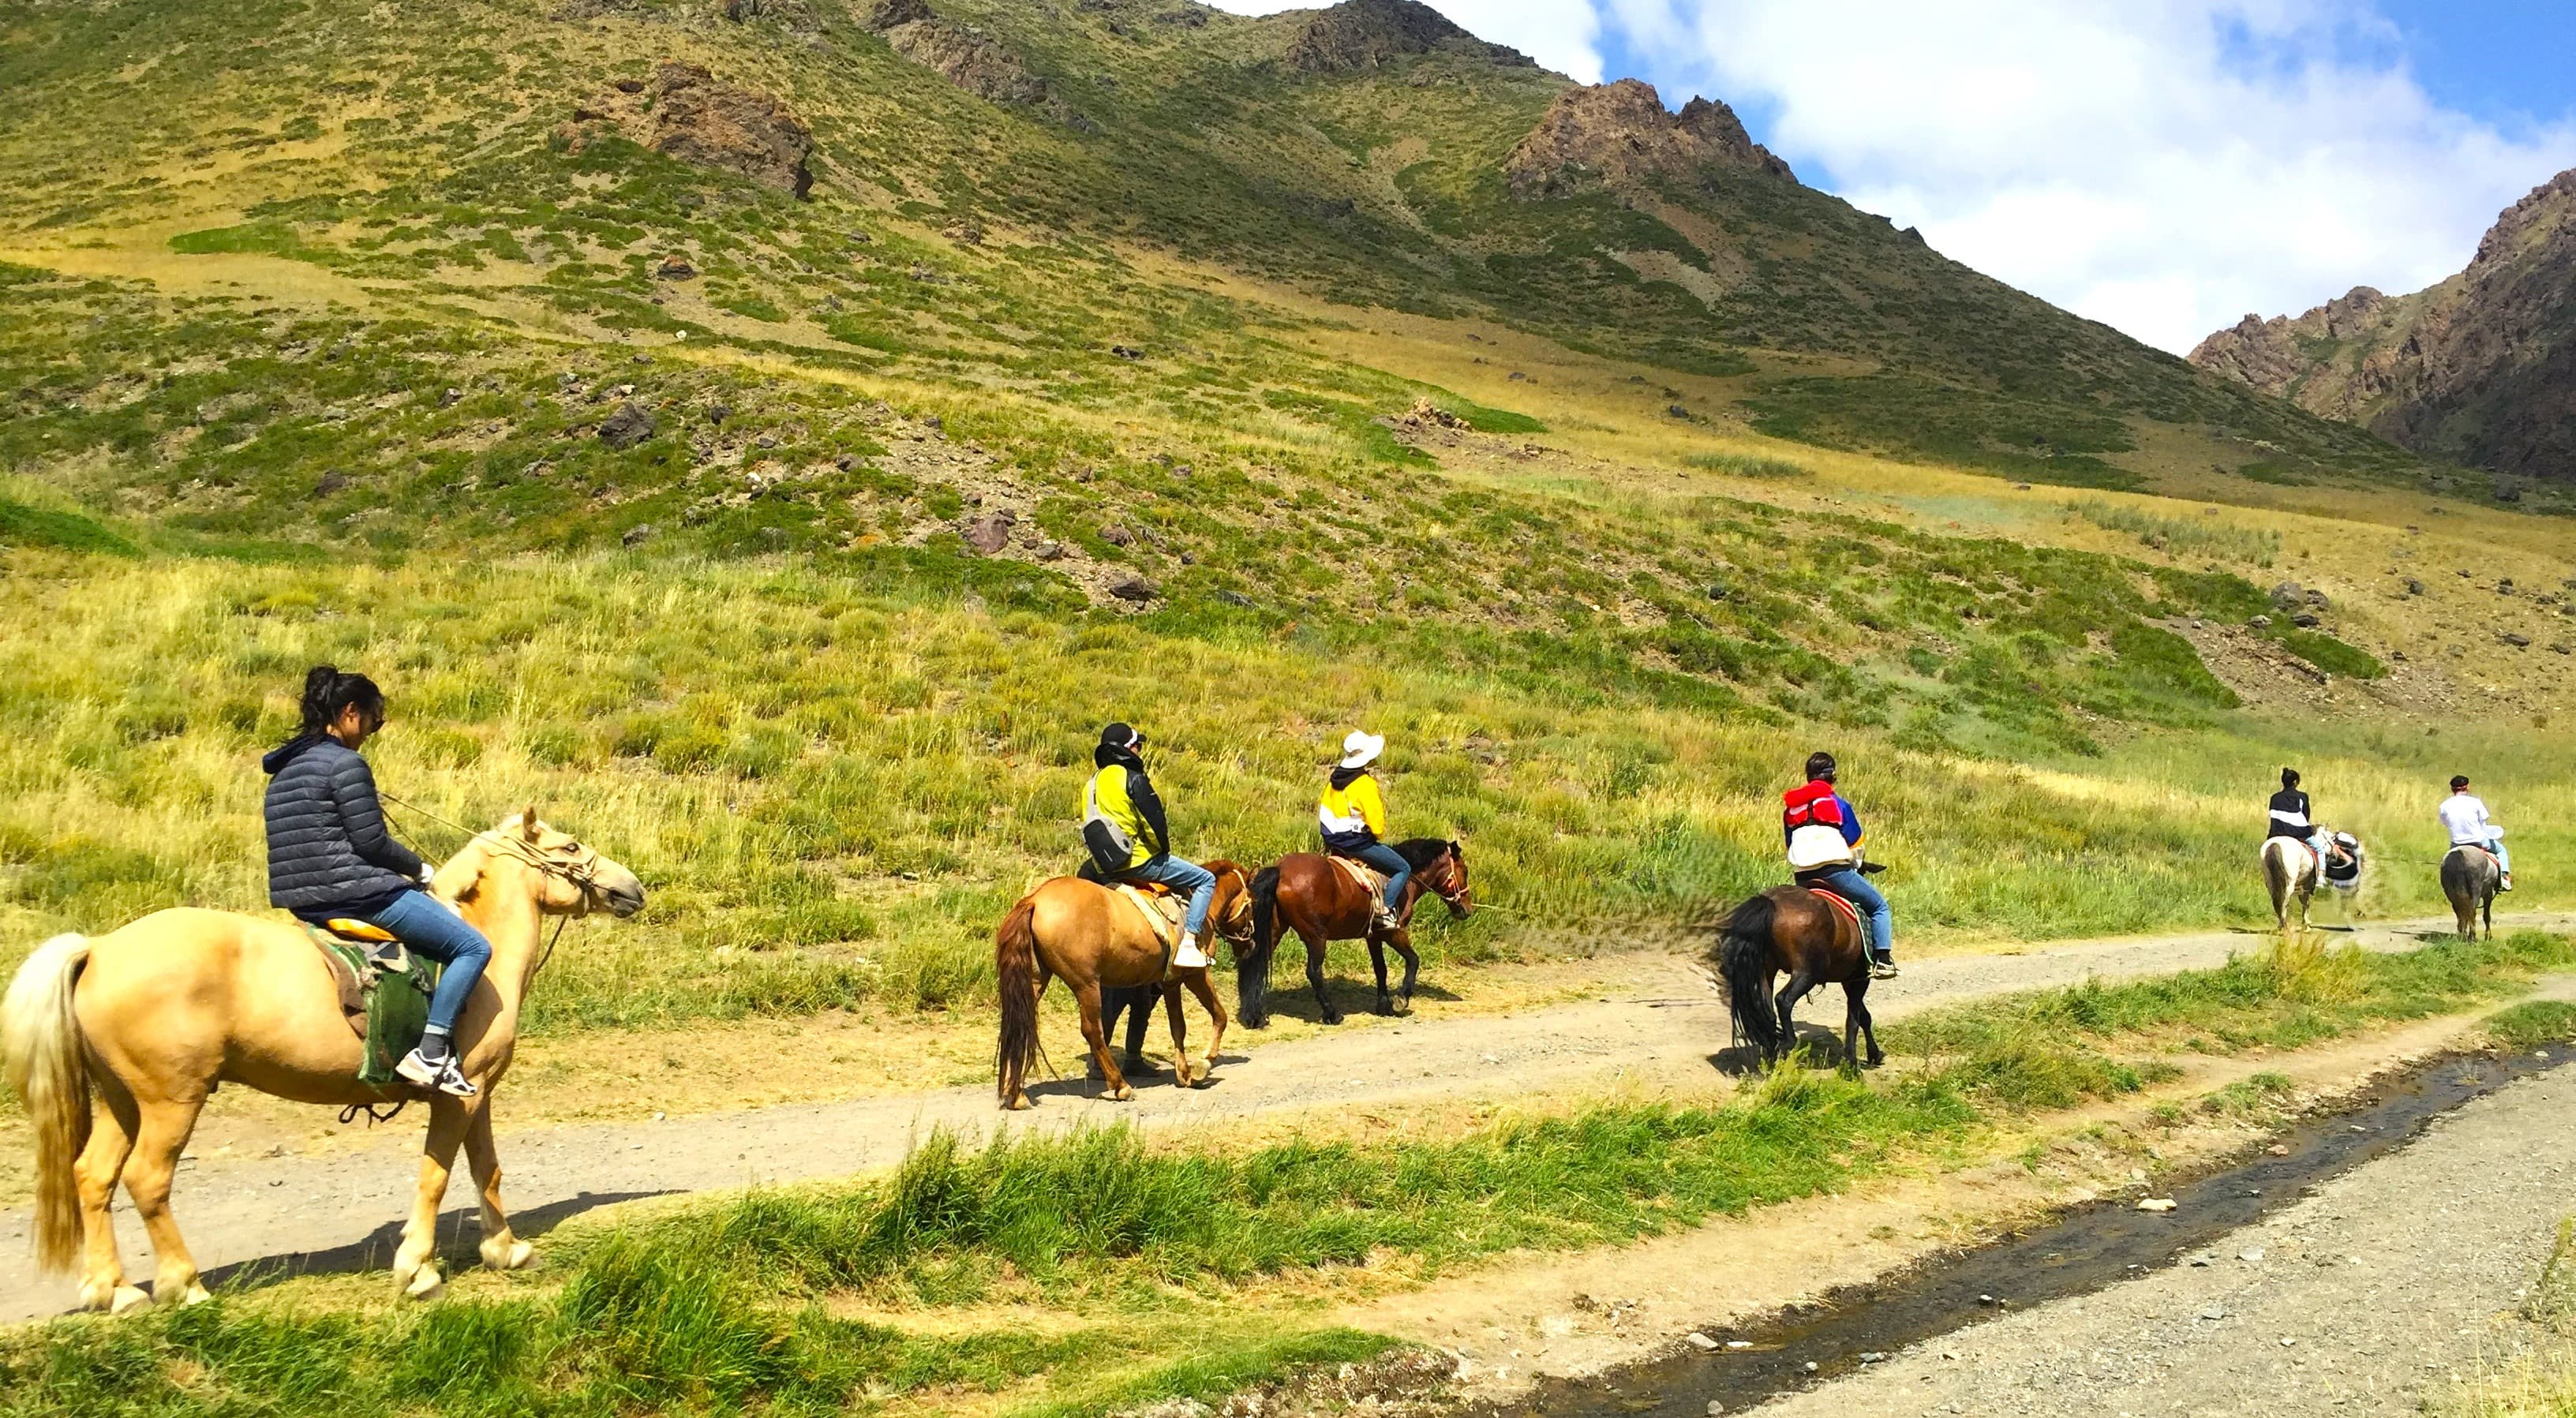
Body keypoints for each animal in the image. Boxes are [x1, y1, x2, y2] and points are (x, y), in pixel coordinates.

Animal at [1, 813, 644, 1317]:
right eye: (569, 847)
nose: (632, 888)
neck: (479, 953)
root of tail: (98, 949)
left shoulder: (476, 1093)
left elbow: (487, 1169)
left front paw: (506, 1250)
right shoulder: (455, 1097)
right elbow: (436, 1177)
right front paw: (419, 1271)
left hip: (121, 1101)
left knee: (93, 1176)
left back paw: (113, 1290)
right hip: (170, 1102)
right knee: (147, 1180)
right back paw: (184, 1285)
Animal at [994, 859, 1256, 1117]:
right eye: (1251, 903)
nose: (1251, 945)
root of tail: (1035, 900)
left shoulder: (1170, 983)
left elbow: (1178, 1027)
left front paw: (1184, 1072)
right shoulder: (1196, 975)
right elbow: (1219, 1017)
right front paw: (1203, 1064)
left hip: (1036, 980)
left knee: (1020, 1026)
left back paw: (1016, 1096)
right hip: (1086, 984)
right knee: (1092, 1031)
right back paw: (1120, 1085)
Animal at [1241, 839, 1473, 1024]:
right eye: (1465, 871)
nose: (1467, 910)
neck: (1405, 880)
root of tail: (1281, 870)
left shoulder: (1374, 936)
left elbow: (1381, 969)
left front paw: (1384, 1006)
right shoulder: (1394, 932)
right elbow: (1413, 960)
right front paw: (1401, 999)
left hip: (1274, 931)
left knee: (1257, 965)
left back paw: (1254, 1016)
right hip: (1316, 937)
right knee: (1313, 972)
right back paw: (1332, 1014)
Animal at [1720, 880, 1885, 1070]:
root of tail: (1772, 901)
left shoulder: (1849, 980)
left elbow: (1863, 1016)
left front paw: (1874, 1054)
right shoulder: (1860, 978)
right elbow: (1854, 1019)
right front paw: (1852, 1063)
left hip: (1767, 971)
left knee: (1767, 1010)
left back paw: (1772, 1056)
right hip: (1807, 974)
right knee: (1783, 1000)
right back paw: (1789, 1042)